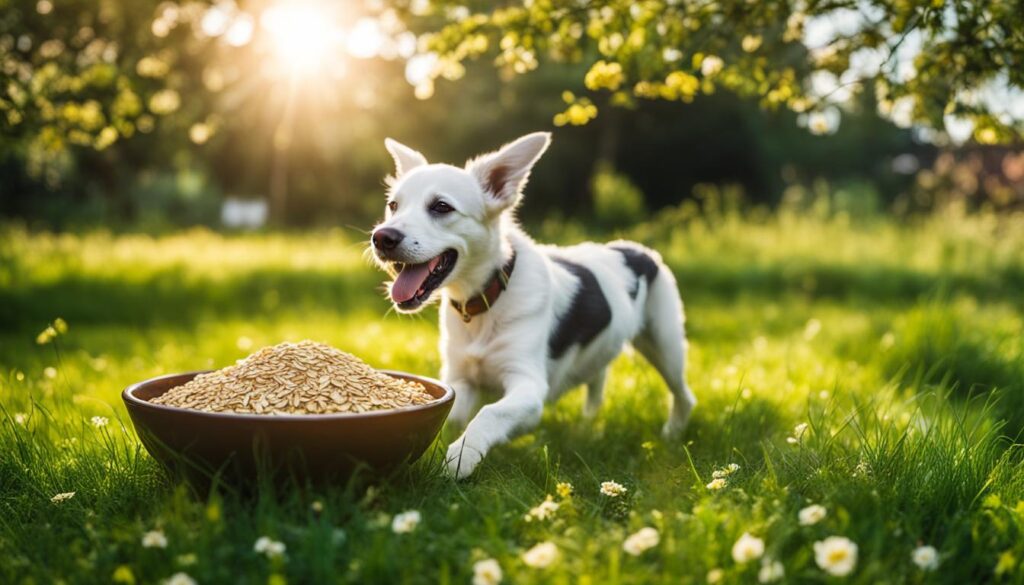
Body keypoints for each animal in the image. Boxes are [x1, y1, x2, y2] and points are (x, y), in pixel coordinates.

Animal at [368, 133, 696, 481]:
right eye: (393, 205)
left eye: (441, 207)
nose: (382, 237)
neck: (484, 304)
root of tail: (636, 249)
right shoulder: (460, 380)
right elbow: (452, 414)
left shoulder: (529, 386)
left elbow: (490, 413)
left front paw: (462, 456)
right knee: (596, 386)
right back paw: (587, 430)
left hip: (666, 346)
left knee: (684, 395)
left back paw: (672, 435)